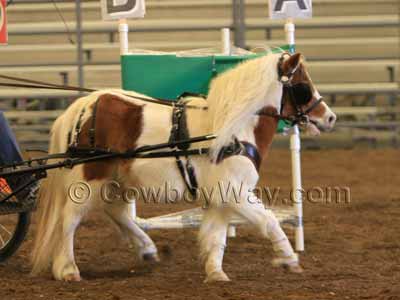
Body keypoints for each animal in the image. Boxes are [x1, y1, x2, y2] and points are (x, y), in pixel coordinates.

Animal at [32, 52, 336, 282]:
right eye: (303, 85)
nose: (330, 117)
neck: (233, 129)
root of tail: (83, 104)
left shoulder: (220, 199)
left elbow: (217, 237)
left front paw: (215, 273)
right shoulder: (235, 193)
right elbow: (268, 220)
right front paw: (288, 259)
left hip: (118, 179)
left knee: (117, 212)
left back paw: (147, 249)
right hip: (89, 178)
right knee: (70, 219)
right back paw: (67, 269)